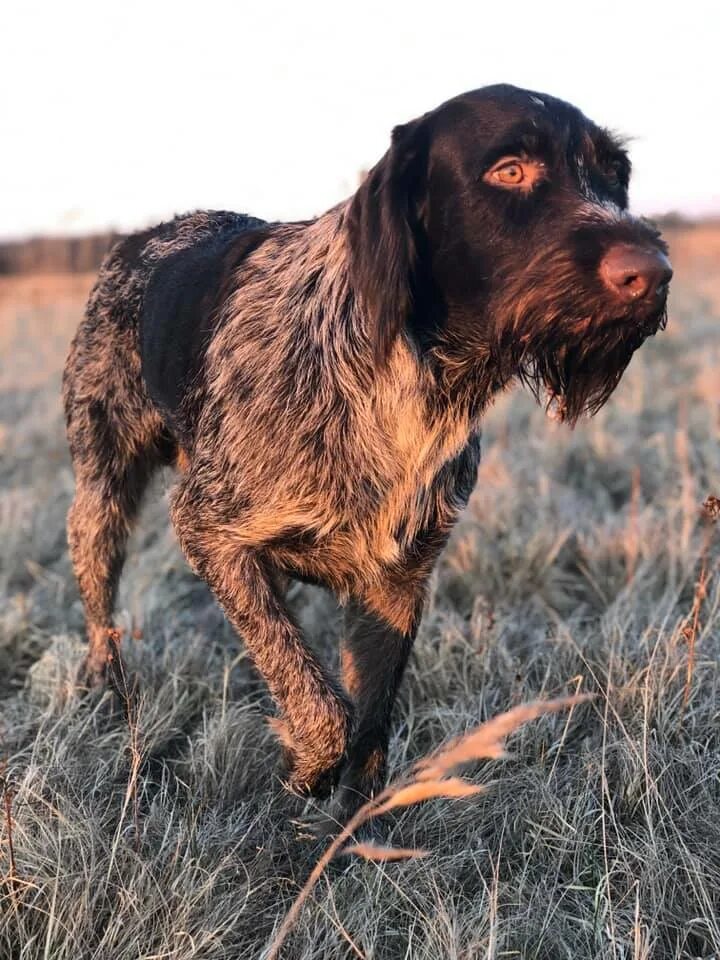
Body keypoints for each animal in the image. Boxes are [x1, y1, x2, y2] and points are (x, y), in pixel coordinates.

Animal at [60, 84, 668, 816]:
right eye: (510, 170)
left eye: (612, 173)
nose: (652, 273)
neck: (416, 381)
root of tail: (142, 238)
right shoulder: (209, 530)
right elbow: (322, 704)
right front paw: (307, 769)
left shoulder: (398, 580)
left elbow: (370, 726)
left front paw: (352, 831)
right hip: (101, 493)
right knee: (101, 602)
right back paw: (109, 692)